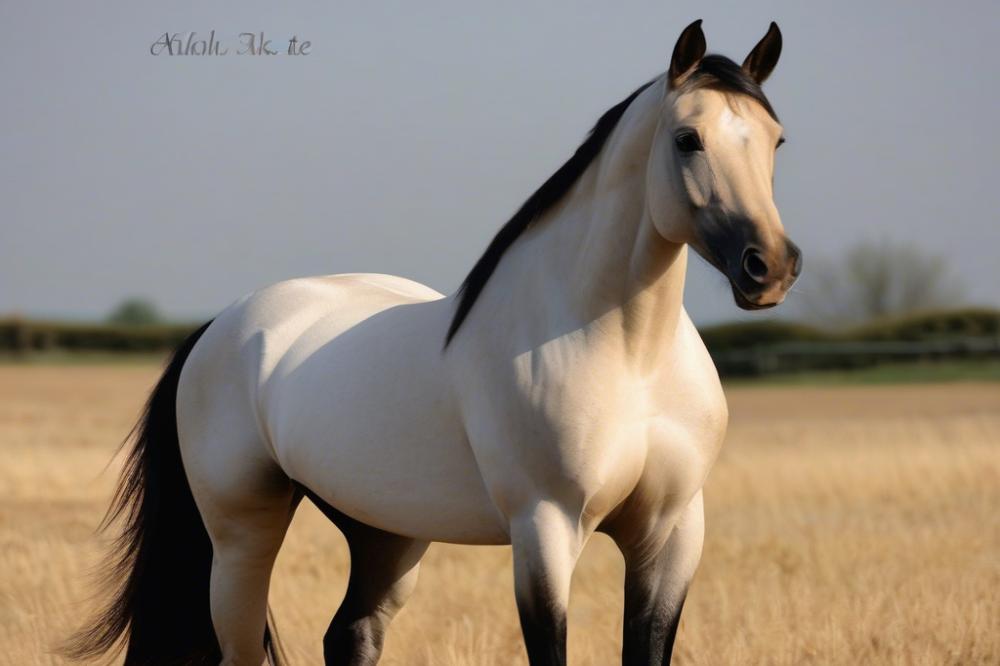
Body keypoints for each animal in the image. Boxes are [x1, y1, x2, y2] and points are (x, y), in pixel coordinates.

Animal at [68, 18, 804, 660]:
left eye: (776, 140)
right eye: (688, 138)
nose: (769, 267)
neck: (629, 360)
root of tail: (219, 327)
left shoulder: (671, 537)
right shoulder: (544, 533)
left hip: (385, 535)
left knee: (351, 635)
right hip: (241, 537)